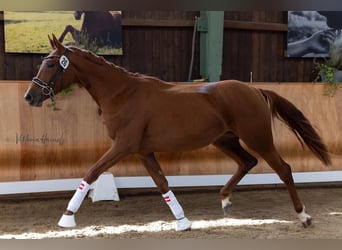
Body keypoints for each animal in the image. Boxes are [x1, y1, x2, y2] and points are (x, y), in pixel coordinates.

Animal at [22, 34, 330, 231]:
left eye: (51, 63)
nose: (29, 97)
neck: (122, 94)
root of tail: (255, 90)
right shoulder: (143, 151)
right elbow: (162, 183)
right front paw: (183, 222)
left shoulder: (123, 146)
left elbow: (91, 173)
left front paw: (67, 217)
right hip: (225, 140)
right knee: (247, 162)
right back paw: (225, 200)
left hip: (258, 138)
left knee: (284, 169)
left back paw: (304, 217)